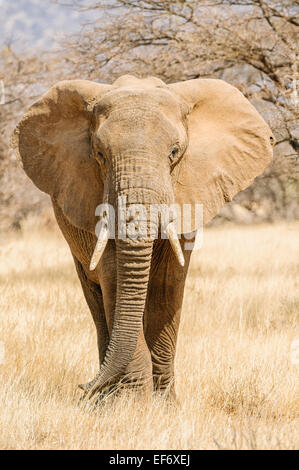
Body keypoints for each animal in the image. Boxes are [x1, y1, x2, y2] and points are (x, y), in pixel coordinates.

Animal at [11, 75, 276, 398]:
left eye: (174, 153)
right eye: (100, 155)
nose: (83, 386)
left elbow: (166, 285)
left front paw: (163, 402)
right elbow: (115, 280)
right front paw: (133, 402)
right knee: (96, 300)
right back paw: (105, 397)